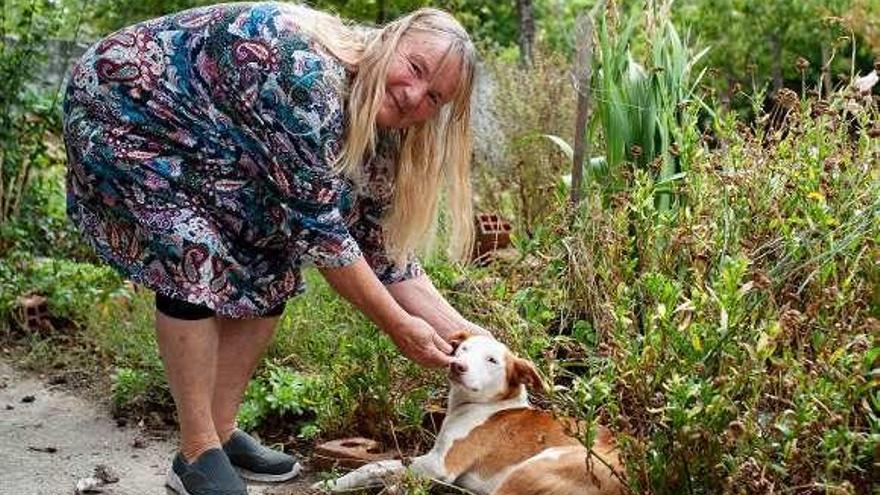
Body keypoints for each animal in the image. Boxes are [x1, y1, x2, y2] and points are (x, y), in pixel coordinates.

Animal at [312, 334, 624, 495]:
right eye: (463, 348)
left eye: (492, 360)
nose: (457, 365)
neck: (486, 405)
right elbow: (376, 467)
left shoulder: (440, 465)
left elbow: (379, 468)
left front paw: (336, 483)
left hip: (531, 468)